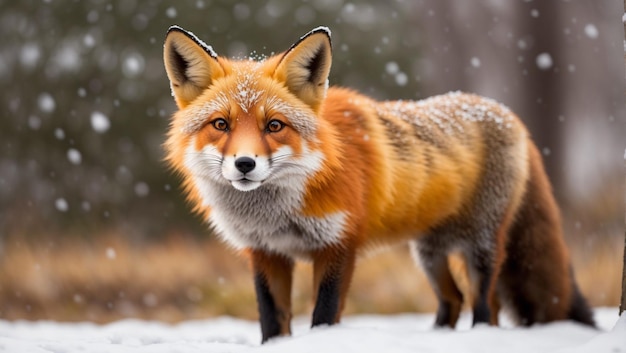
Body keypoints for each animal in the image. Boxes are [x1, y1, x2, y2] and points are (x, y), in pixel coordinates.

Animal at [163, 25, 592, 340]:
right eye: (221, 124)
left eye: (274, 126)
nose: (245, 164)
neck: (278, 212)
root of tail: (508, 113)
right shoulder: (266, 252)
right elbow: (272, 322)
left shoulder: (338, 245)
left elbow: (323, 315)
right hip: (430, 253)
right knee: (452, 301)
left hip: (481, 250)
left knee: (485, 307)